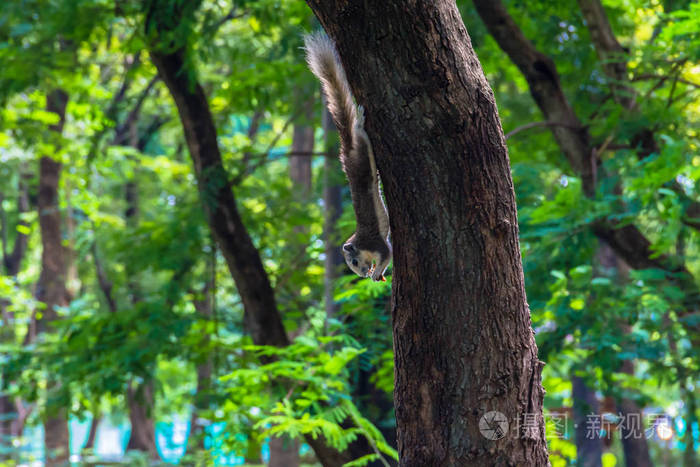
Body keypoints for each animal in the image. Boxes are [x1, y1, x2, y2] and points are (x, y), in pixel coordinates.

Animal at [304, 33, 392, 282]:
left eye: (353, 262)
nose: (362, 274)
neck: (359, 243)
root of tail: (347, 150)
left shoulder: (377, 243)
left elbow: (387, 254)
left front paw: (377, 272)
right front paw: (375, 273)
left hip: (361, 149)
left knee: (359, 134)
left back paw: (360, 122)